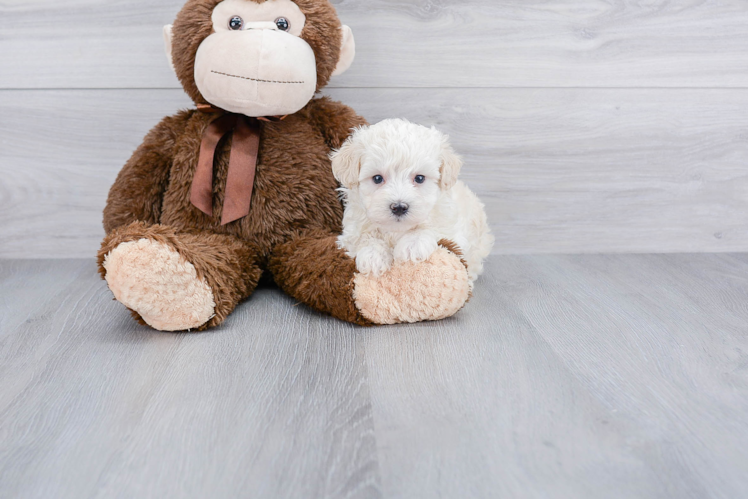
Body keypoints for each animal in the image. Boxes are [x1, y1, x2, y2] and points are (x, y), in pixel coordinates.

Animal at [330, 117, 494, 288]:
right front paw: (373, 255)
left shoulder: (451, 226)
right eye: (377, 178)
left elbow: (433, 228)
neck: (395, 230)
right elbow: (363, 237)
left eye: (420, 178)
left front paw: (413, 244)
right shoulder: (351, 231)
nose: (399, 207)